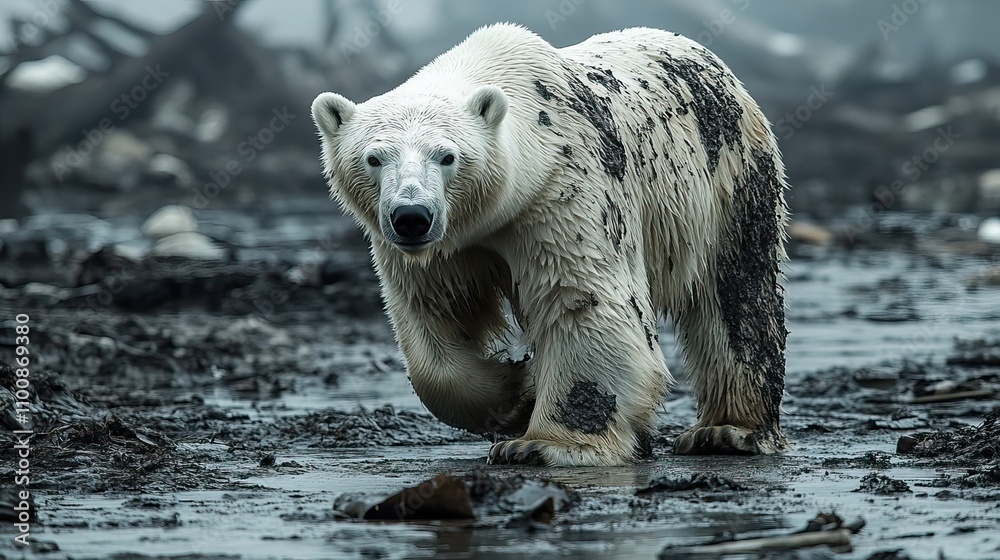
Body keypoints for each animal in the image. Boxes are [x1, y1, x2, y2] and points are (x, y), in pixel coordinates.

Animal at [310, 23, 789, 466]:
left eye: (447, 156)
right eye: (374, 158)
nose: (412, 216)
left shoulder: (562, 189)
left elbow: (582, 299)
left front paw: (541, 445)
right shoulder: (441, 246)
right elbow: (434, 317)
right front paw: (517, 395)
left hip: (728, 179)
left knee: (736, 293)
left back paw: (727, 430)